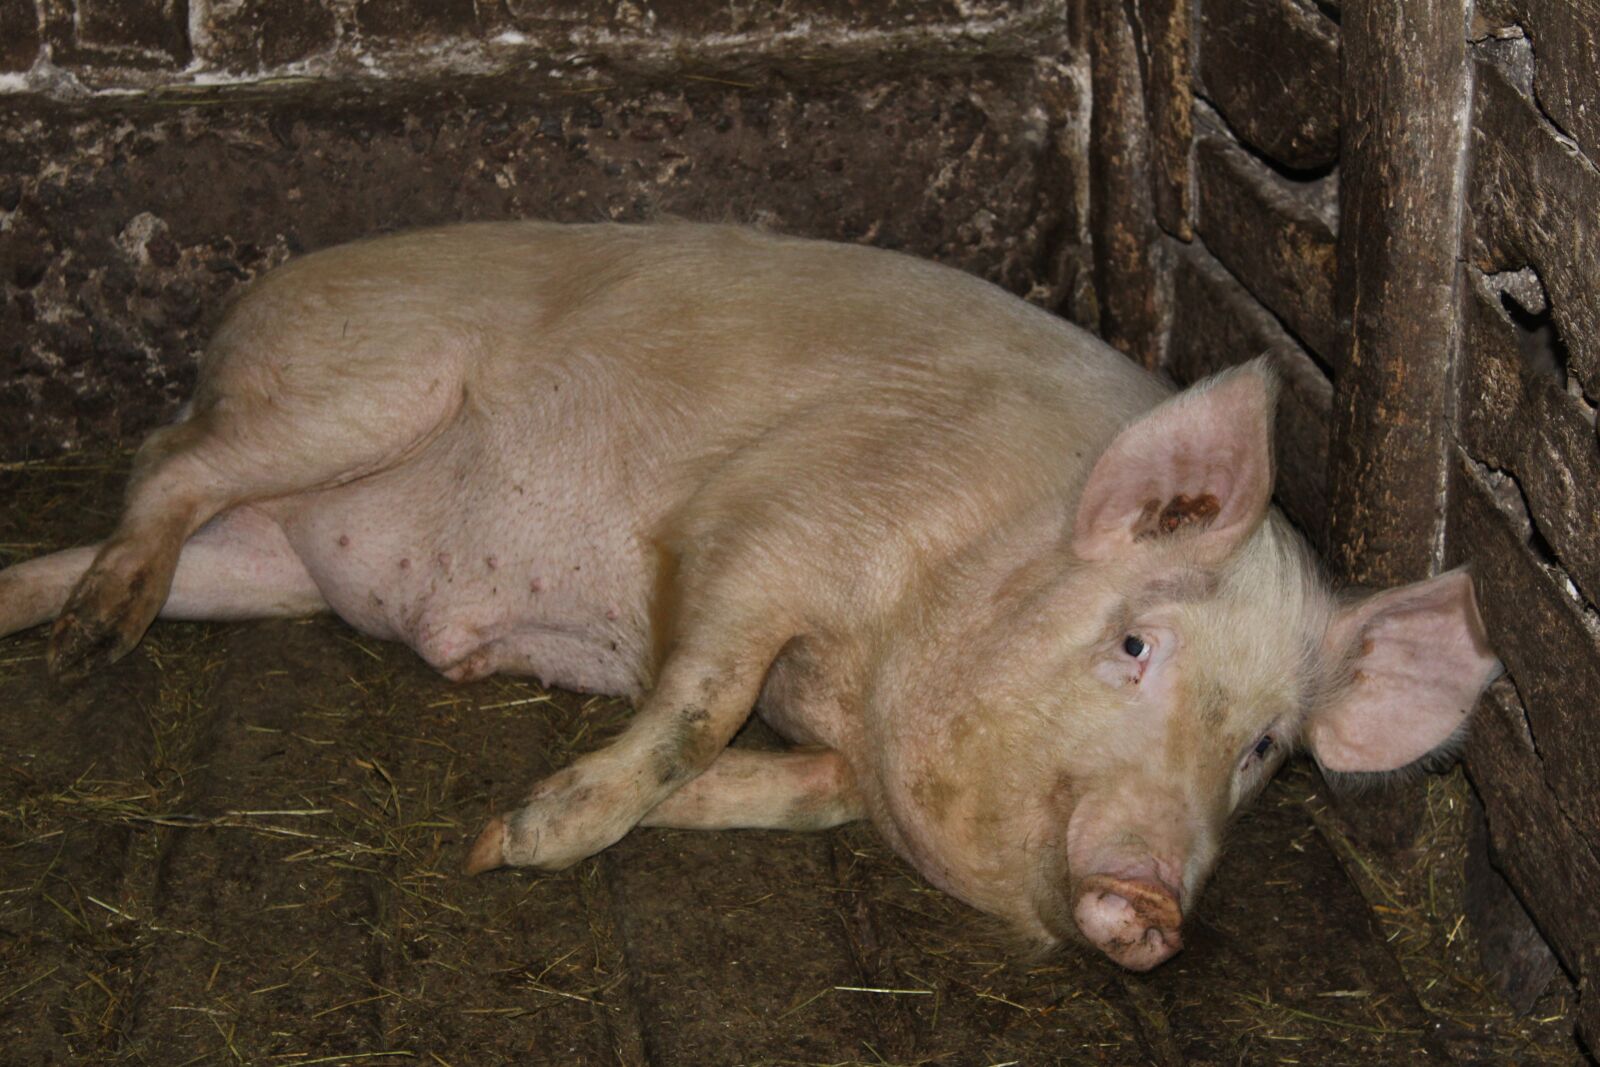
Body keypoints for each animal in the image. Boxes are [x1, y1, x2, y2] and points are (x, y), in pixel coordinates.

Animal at [0, 221, 1500, 970]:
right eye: (1134, 641)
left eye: (1263, 747)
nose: (1155, 901)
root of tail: (256, 301)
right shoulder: (772, 520)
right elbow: (701, 700)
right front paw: (512, 842)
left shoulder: (842, 734)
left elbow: (799, 788)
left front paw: (509, 826)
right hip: (348, 390)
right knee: (164, 462)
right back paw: (87, 646)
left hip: (265, 567)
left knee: (134, 526)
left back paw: (47, 621)